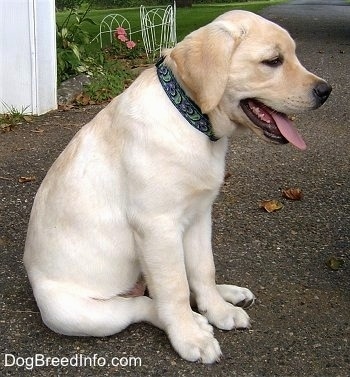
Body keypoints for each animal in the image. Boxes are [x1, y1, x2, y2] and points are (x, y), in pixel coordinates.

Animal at [23, 9, 330, 362]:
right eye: (273, 61)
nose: (326, 91)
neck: (190, 118)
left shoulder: (198, 216)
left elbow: (203, 270)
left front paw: (218, 309)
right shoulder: (157, 227)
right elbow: (175, 288)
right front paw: (190, 337)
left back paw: (228, 296)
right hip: (76, 313)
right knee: (143, 304)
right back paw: (194, 323)